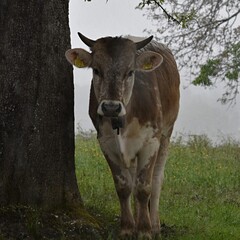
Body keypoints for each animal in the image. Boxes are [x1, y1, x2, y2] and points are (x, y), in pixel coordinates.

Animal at [65, 32, 180, 239]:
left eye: (130, 72)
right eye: (96, 70)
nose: (111, 107)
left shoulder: (151, 141)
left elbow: (144, 188)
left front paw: (145, 230)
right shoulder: (107, 143)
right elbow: (124, 186)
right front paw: (127, 228)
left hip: (167, 133)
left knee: (157, 180)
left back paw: (155, 224)